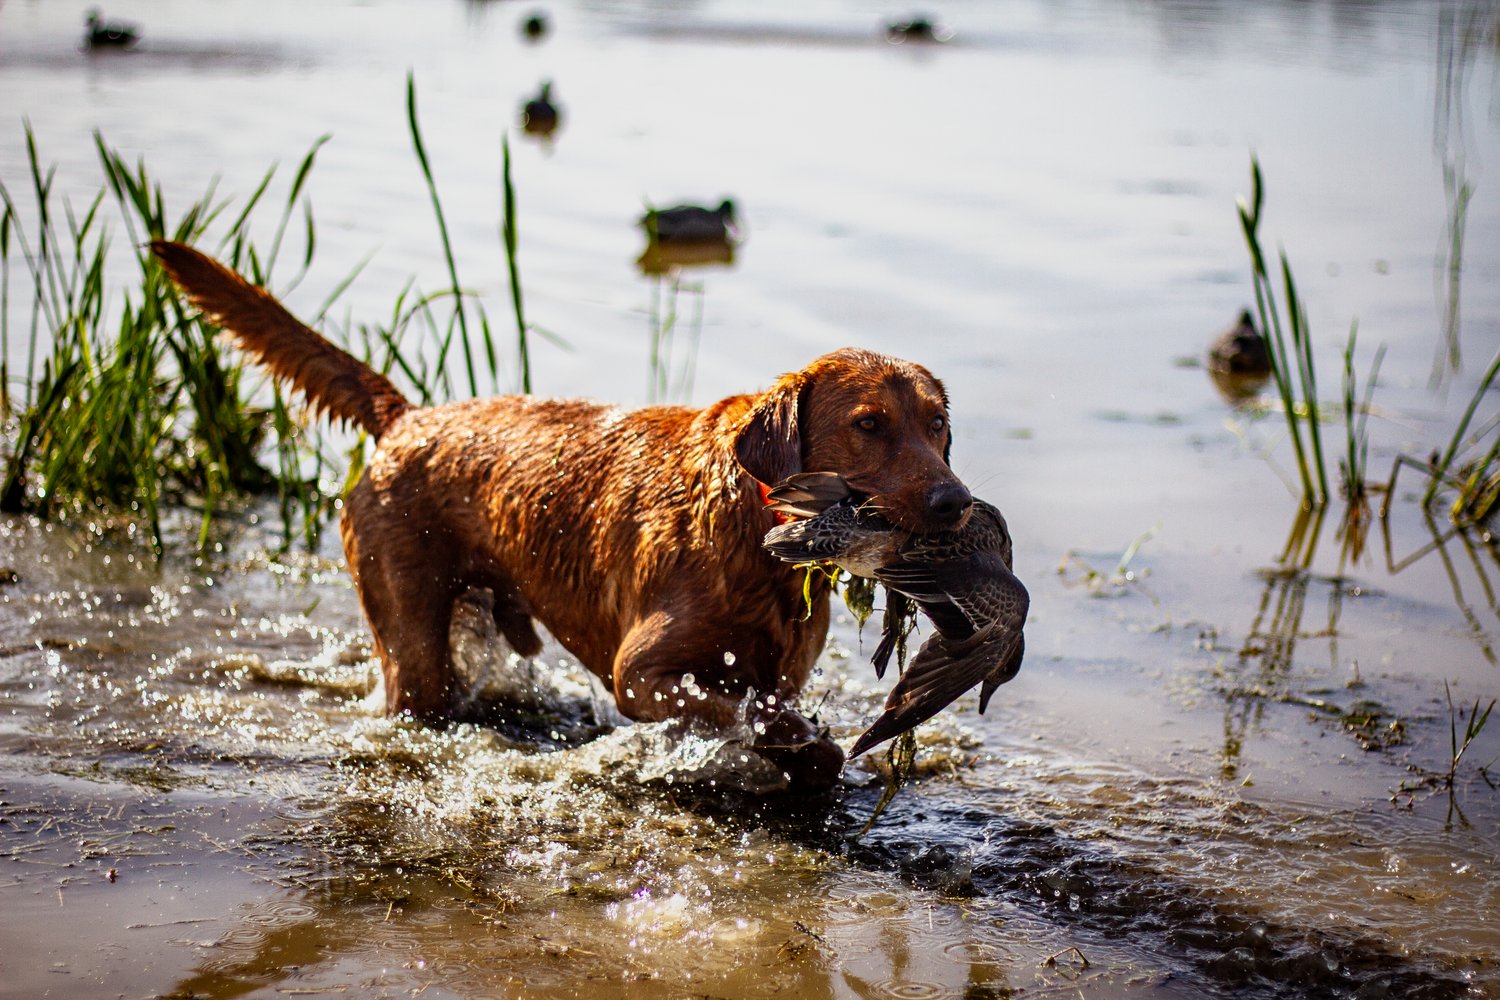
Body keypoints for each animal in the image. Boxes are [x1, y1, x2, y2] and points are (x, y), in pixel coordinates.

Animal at [152, 238, 972, 785]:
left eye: (937, 425)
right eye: (870, 425)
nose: (956, 503)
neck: (752, 529)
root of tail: (407, 417)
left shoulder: (779, 670)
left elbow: (787, 720)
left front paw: (809, 753)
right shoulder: (639, 675)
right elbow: (735, 707)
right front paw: (785, 741)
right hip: (411, 640)